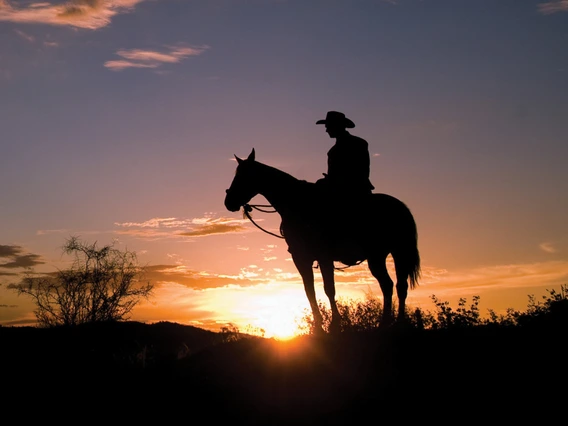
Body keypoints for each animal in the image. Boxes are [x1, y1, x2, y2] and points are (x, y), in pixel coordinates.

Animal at [224, 150, 420, 332]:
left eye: (242, 175)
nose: (229, 201)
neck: (298, 206)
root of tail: (401, 207)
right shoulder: (301, 258)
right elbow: (309, 290)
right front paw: (318, 327)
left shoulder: (324, 257)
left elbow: (329, 289)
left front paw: (335, 324)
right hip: (379, 256)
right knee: (389, 285)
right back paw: (387, 323)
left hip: (397, 252)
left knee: (398, 286)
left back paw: (397, 323)